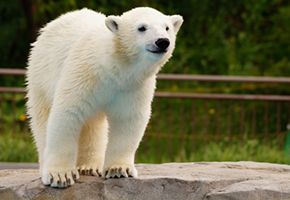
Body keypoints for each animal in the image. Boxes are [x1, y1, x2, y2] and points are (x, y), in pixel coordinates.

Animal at [26, 6, 182, 188]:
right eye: (142, 28)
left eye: (167, 28)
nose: (162, 41)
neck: (113, 68)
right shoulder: (83, 74)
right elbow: (67, 113)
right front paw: (59, 175)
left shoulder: (132, 86)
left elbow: (128, 119)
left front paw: (118, 169)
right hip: (40, 74)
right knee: (42, 117)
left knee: (93, 124)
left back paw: (89, 166)